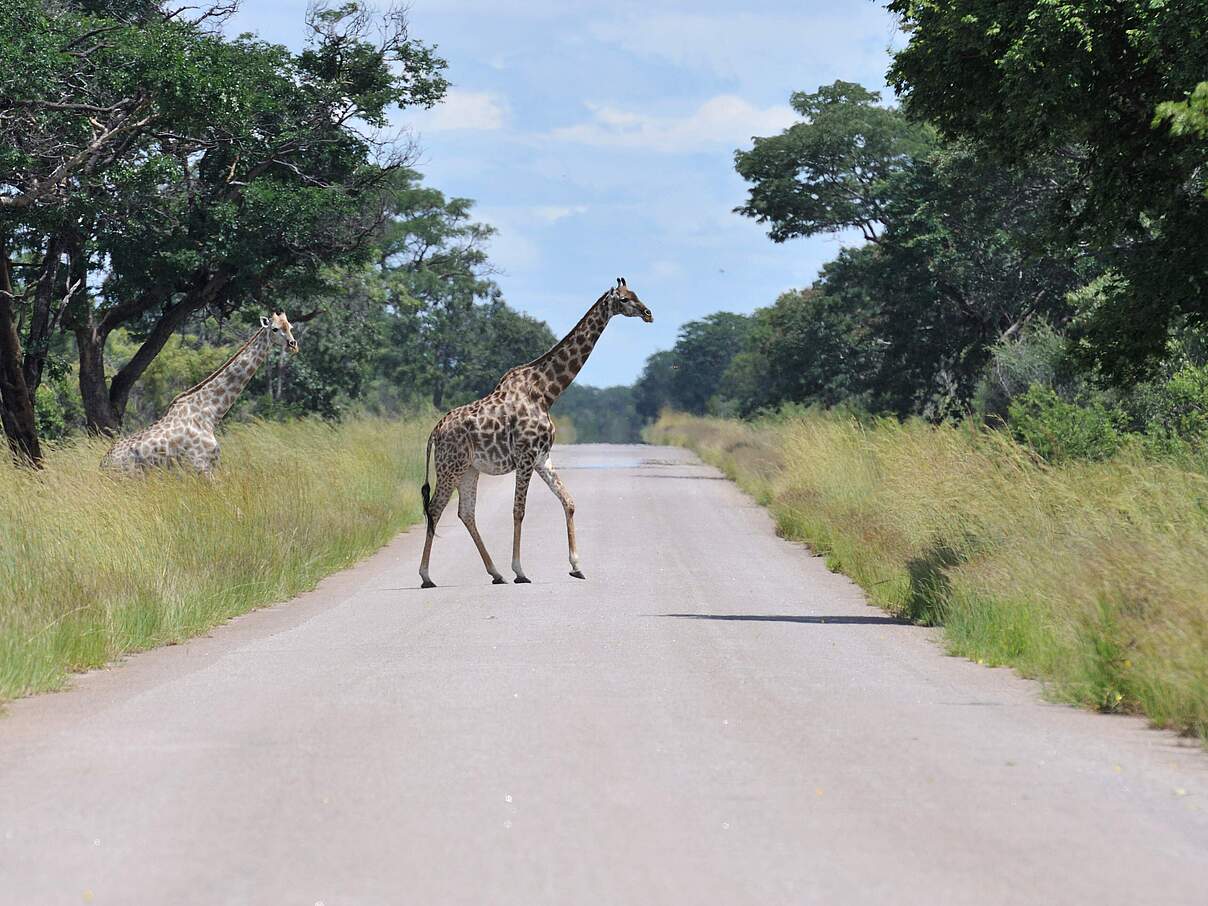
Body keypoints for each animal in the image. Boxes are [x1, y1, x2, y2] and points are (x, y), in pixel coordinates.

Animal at [100, 311, 300, 476]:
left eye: (290, 327)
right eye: (275, 329)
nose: (293, 345)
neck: (210, 413)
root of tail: (103, 464)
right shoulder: (201, 466)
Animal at [418, 277, 653, 588]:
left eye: (636, 294)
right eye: (625, 299)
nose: (648, 313)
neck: (545, 392)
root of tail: (435, 431)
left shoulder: (543, 457)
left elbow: (569, 501)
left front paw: (576, 566)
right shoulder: (526, 457)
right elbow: (519, 510)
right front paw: (520, 570)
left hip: (469, 469)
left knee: (465, 512)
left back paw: (495, 573)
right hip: (450, 467)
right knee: (435, 509)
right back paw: (426, 576)